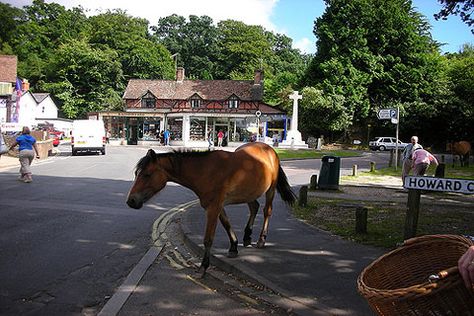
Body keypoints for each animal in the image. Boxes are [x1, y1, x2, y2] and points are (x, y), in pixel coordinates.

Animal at [127, 143, 296, 274]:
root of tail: (269, 149)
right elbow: (226, 224)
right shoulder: (216, 206)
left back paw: (261, 239)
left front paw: (204, 266)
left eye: (147, 174)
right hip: (249, 193)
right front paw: (233, 247)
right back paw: (247, 236)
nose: (131, 201)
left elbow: (208, 239)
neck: (205, 170)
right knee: (254, 207)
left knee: (267, 211)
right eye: (137, 173)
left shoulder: (214, 207)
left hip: (270, 190)